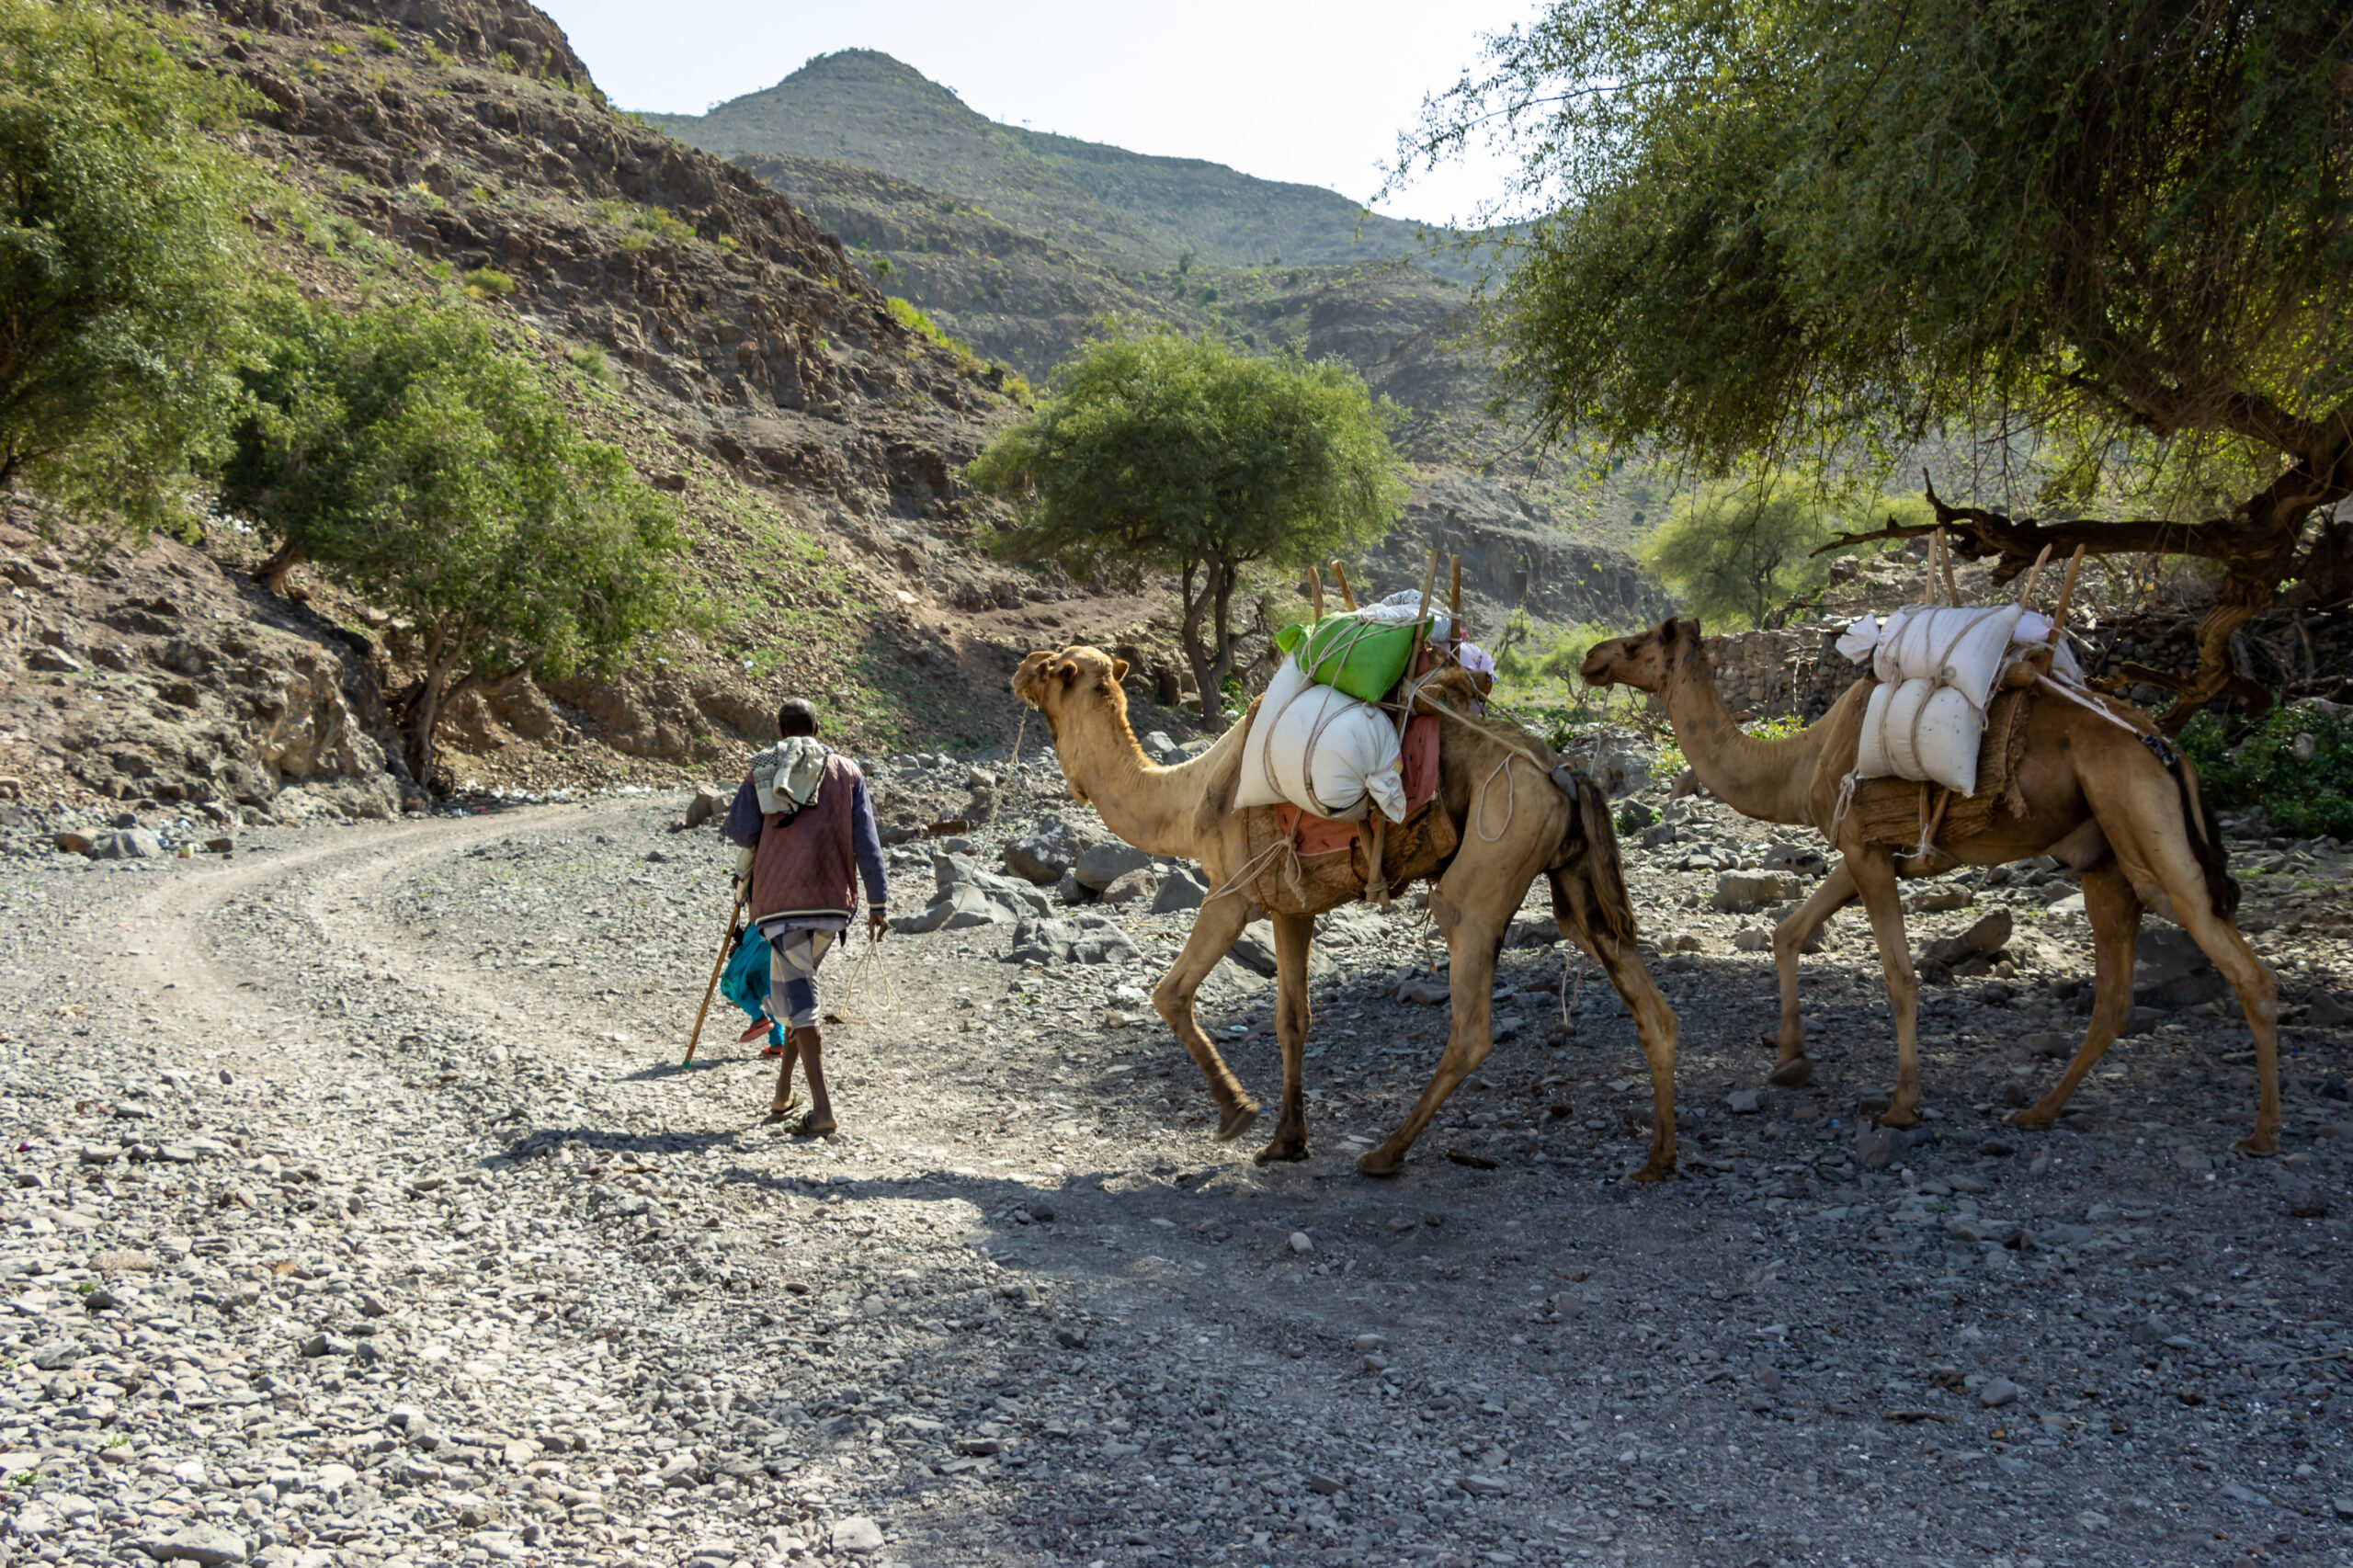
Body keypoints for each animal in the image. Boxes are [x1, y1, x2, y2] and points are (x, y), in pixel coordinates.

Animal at [1011, 644, 1675, 1172]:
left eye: (1052, 667)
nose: (1019, 670)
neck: (1189, 796)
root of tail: (1563, 770)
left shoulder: (1231, 894)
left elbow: (1170, 994)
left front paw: (1237, 1112)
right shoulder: (1290, 905)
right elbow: (1292, 1019)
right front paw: (1286, 1141)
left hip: (1489, 865)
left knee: (1471, 1023)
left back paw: (1384, 1153)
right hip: (1572, 876)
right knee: (1641, 991)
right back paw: (1657, 1161)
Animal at [1581, 621, 2278, 1149]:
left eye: (1639, 644)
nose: (1591, 658)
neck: (1799, 761)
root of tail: (2167, 749)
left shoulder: (1864, 849)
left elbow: (1898, 977)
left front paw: (1901, 1105)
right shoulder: (1866, 851)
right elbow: (1788, 932)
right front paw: (1788, 1058)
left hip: (2141, 821)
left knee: (2243, 967)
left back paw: (2263, 1134)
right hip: (2105, 858)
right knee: (2115, 997)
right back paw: (2038, 1111)